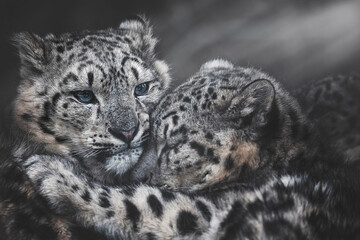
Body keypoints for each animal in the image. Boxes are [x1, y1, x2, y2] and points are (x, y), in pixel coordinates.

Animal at [16, 59, 360, 238]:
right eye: (148, 134)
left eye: (173, 141)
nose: (137, 175)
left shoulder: (207, 210)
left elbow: (145, 202)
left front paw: (51, 170)